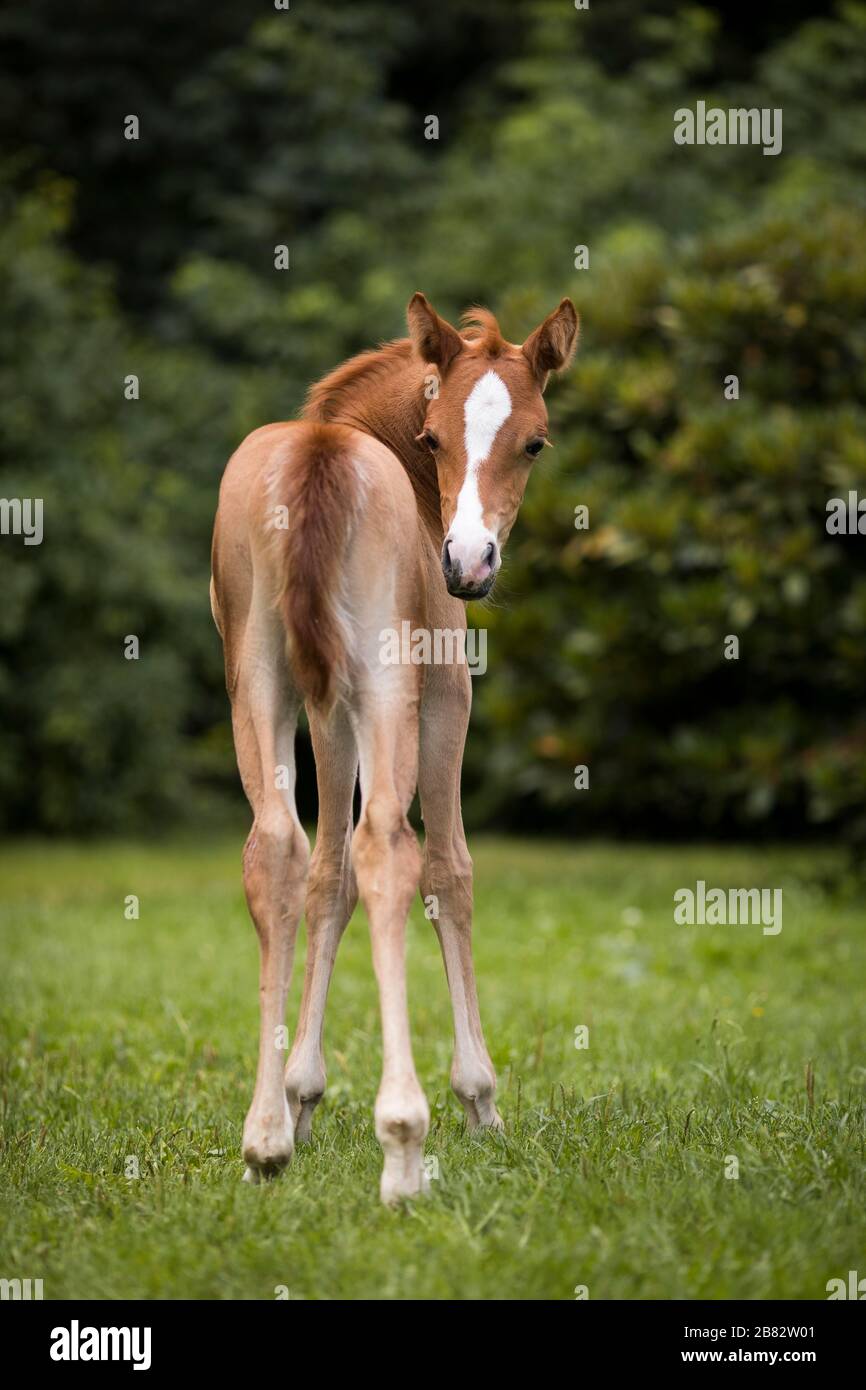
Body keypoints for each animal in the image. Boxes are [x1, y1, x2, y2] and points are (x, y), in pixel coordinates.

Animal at [209, 290, 575, 1195]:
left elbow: (324, 877)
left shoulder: (324, 705)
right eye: (434, 436)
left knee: (276, 847)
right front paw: (480, 1100)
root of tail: (321, 456)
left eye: (532, 441)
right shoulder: (442, 692)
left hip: (261, 682)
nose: (469, 563)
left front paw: (301, 1098)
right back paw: (404, 1146)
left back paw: (263, 1141)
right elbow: (447, 870)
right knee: (388, 848)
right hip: (388, 685)